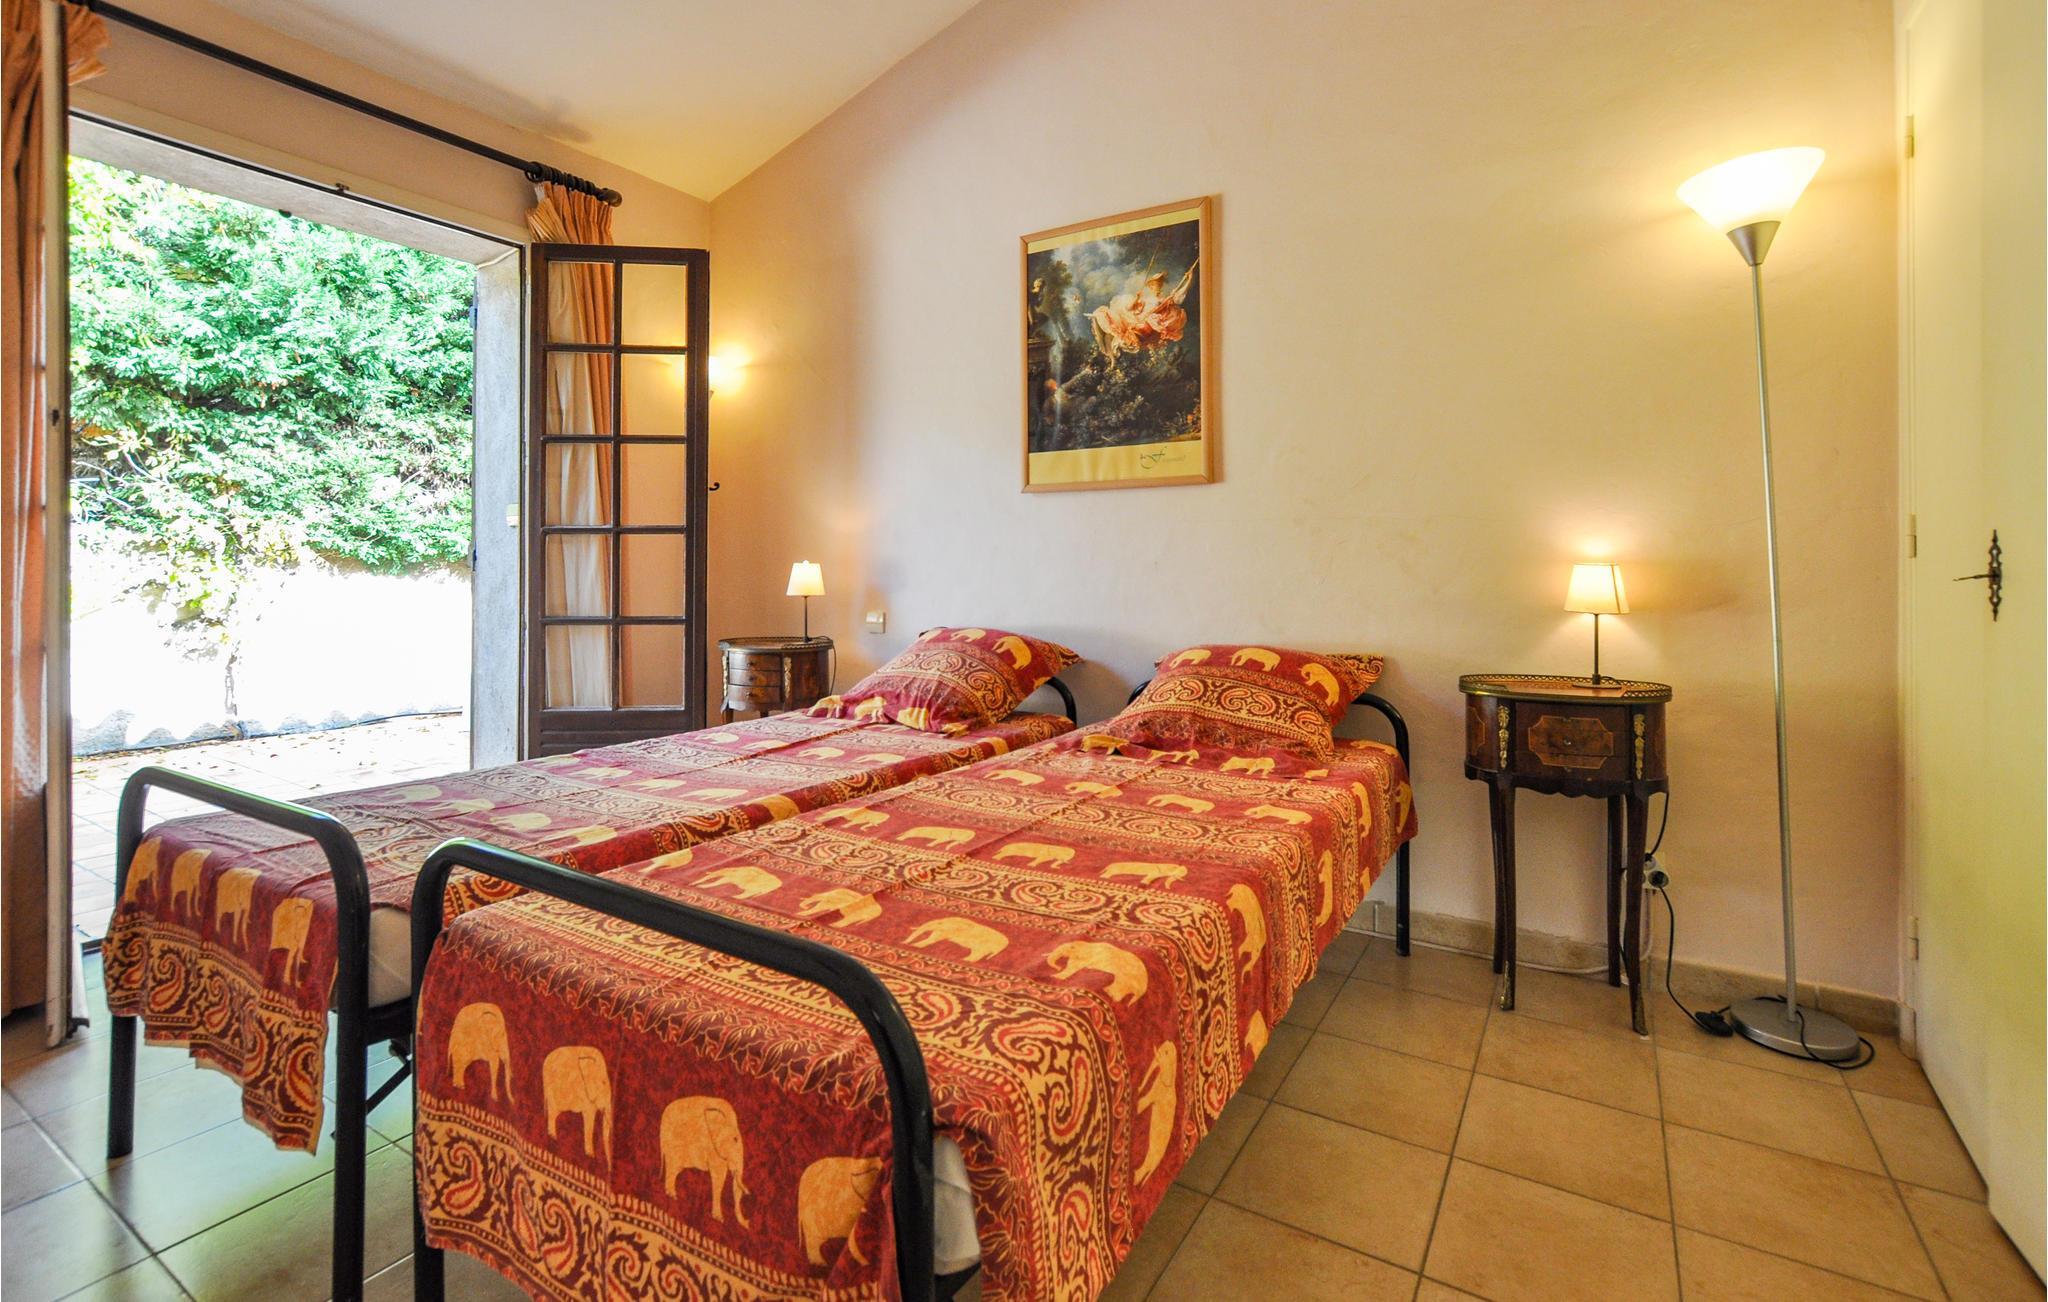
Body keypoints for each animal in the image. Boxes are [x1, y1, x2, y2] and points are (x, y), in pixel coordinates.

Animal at [660, 1096, 752, 1227]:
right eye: (735, 1139)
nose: (748, 1222)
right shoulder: (712, 1147)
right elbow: (719, 1176)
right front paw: (719, 1219)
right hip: (673, 1141)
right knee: (673, 1165)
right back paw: (672, 1195)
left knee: (676, 1168)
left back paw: (671, 1195)